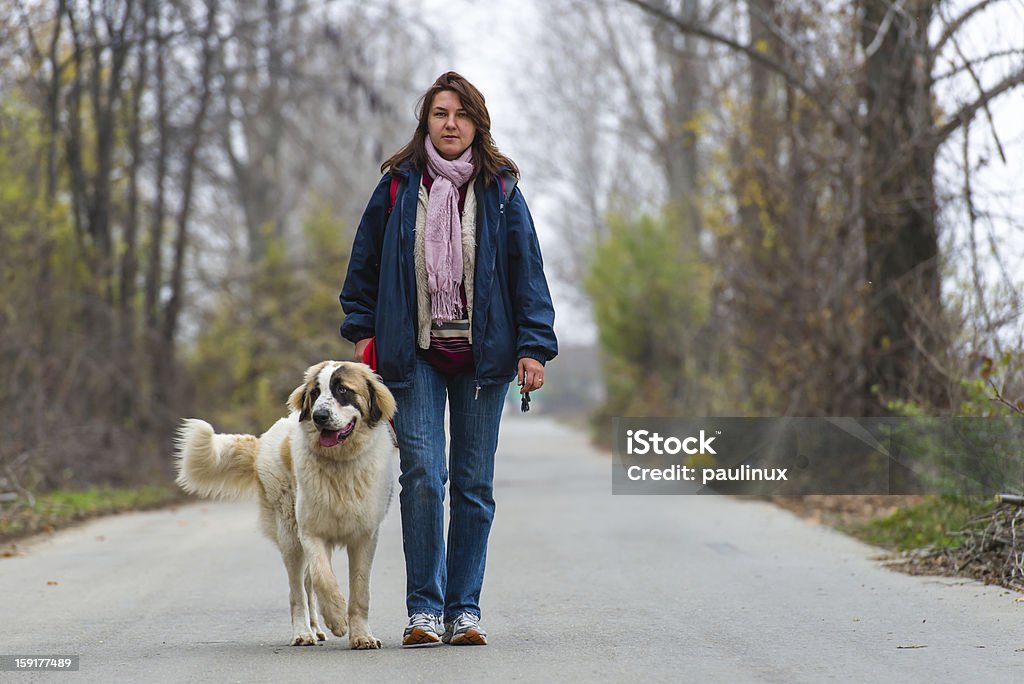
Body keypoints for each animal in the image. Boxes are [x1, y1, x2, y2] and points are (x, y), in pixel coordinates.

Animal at [174, 360, 397, 651]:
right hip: (290, 535)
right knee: (298, 591)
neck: (340, 464)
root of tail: (264, 439)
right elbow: (324, 578)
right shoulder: (310, 532)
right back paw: (303, 632)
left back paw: (316, 629)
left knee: (307, 584)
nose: (319, 416)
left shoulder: (365, 536)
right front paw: (337, 618)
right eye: (315, 393)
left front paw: (362, 636)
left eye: (342, 390)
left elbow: (360, 591)